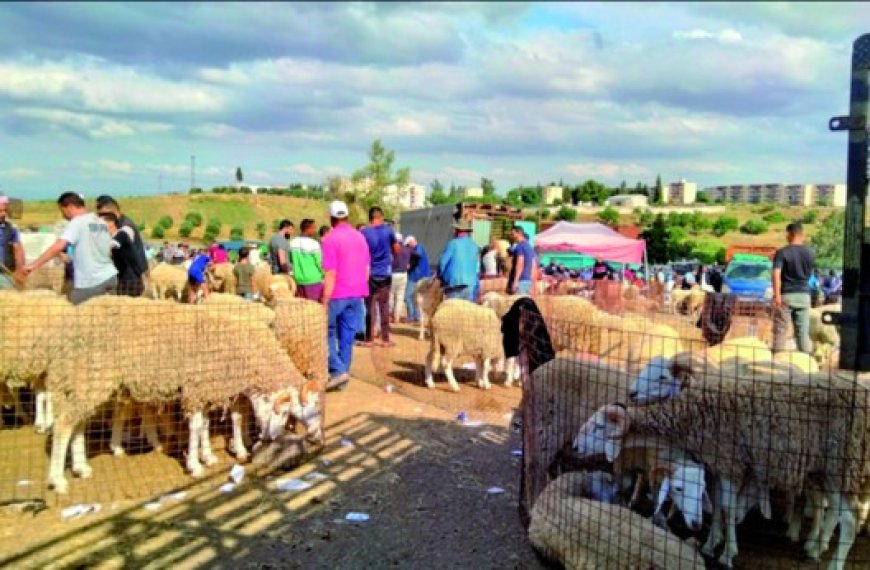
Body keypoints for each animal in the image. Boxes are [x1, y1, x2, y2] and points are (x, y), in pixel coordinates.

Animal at [42, 296, 318, 490]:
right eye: (289, 411)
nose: (272, 439)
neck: (242, 348)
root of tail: (68, 324)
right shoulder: (196, 389)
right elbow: (196, 427)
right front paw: (195, 465)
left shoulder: (206, 389)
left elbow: (205, 425)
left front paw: (208, 456)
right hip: (87, 376)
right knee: (64, 424)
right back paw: (58, 479)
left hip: (87, 383)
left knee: (78, 423)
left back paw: (81, 467)